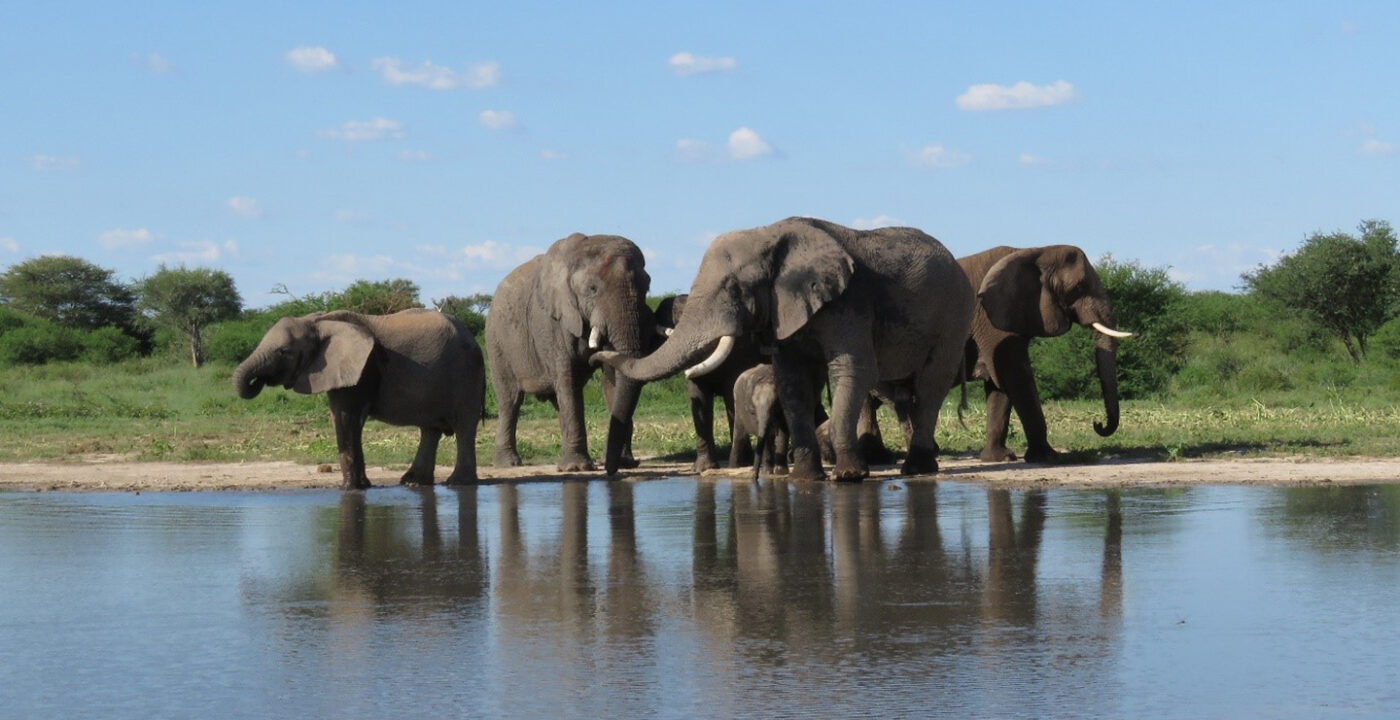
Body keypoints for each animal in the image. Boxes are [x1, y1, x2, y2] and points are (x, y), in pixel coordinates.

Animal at [232, 308, 486, 490]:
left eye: (284, 352)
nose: (259, 381)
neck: (319, 322)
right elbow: (348, 420)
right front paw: (363, 486)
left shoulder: (360, 369)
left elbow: (345, 417)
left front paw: (349, 489)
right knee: (430, 430)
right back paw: (413, 482)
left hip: (466, 373)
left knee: (464, 426)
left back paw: (457, 483)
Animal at [486, 232, 652, 475]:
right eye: (592, 289)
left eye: (647, 287)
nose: (609, 469)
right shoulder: (551, 322)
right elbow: (568, 378)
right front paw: (577, 468)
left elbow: (612, 377)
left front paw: (623, 463)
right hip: (497, 343)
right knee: (510, 400)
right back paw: (508, 463)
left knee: (558, 401)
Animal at [595, 217, 974, 482]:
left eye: (733, 288)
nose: (596, 352)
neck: (768, 234)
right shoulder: (786, 309)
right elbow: (791, 379)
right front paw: (805, 478)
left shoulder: (848, 302)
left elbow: (852, 370)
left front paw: (849, 477)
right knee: (905, 390)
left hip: (955, 314)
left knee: (931, 383)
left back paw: (916, 469)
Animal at [960, 245, 1133, 462]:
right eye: (1078, 287)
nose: (1097, 424)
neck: (1033, 251)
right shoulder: (992, 323)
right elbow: (1016, 377)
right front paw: (1048, 457)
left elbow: (1000, 387)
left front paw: (1000, 458)